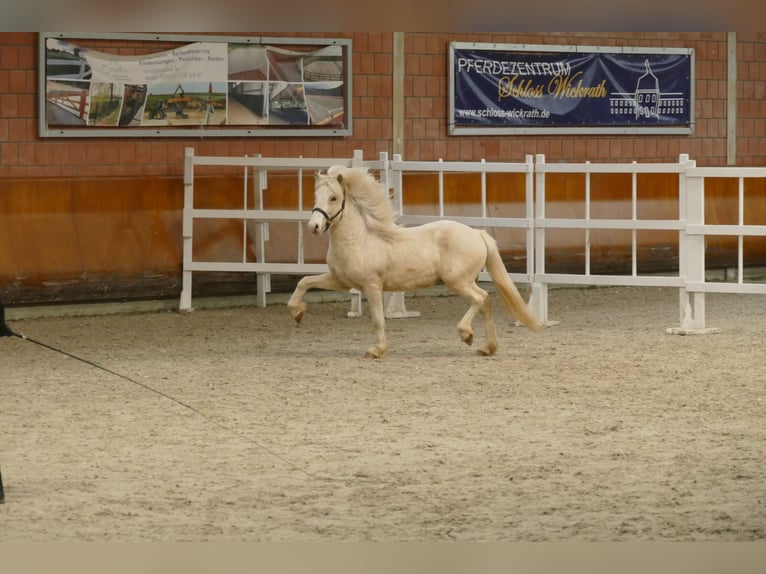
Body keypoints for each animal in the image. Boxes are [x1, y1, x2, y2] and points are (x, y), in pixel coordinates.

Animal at [287, 165, 541, 358]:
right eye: (315, 196)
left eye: (334, 198)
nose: (314, 227)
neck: (359, 241)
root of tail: (477, 233)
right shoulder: (339, 281)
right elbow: (304, 281)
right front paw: (297, 313)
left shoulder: (372, 286)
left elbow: (378, 320)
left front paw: (376, 350)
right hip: (465, 281)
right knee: (486, 303)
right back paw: (486, 347)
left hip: (458, 281)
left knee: (480, 299)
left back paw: (466, 334)